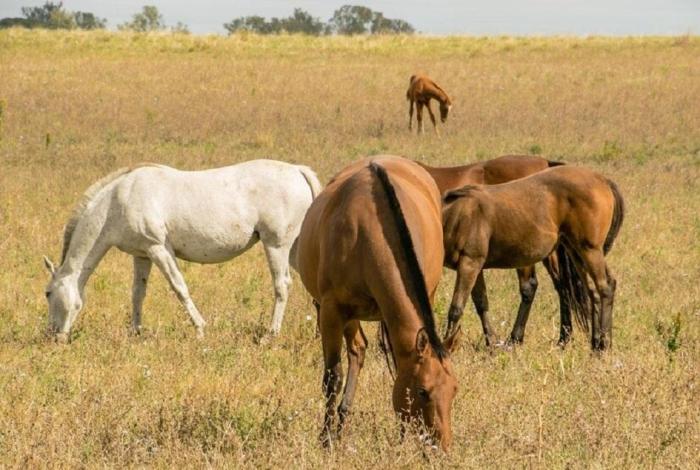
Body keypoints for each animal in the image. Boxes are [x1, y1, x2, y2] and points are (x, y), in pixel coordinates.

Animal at [41, 159, 320, 342]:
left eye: (47, 293)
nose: (54, 336)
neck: (117, 201)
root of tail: (298, 171)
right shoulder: (141, 255)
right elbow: (137, 294)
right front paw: (136, 333)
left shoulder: (159, 249)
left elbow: (179, 288)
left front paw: (200, 329)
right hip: (294, 250)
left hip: (276, 245)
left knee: (282, 285)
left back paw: (270, 335)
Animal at [298, 156, 462, 450]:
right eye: (423, 391)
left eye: (454, 389)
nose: (440, 447)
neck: (369, 230)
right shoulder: (331, 310)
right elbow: (332, 377)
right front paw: (326, 440)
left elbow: (398, 366)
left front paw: (402, 436)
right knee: (356, 350)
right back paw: (338, 426)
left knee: (360, 349)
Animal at [440, 163, 628, 350]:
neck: (454, 215)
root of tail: (603, 180)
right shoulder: (475, 267)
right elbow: (481, 303)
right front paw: (492, 343)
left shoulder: (469, 263)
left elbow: (456, 308)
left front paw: (445, 345)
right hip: (577, 252)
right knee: (593, 290)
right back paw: (596, 342)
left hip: (589, 250)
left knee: (605, 287)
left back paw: (602, 345)